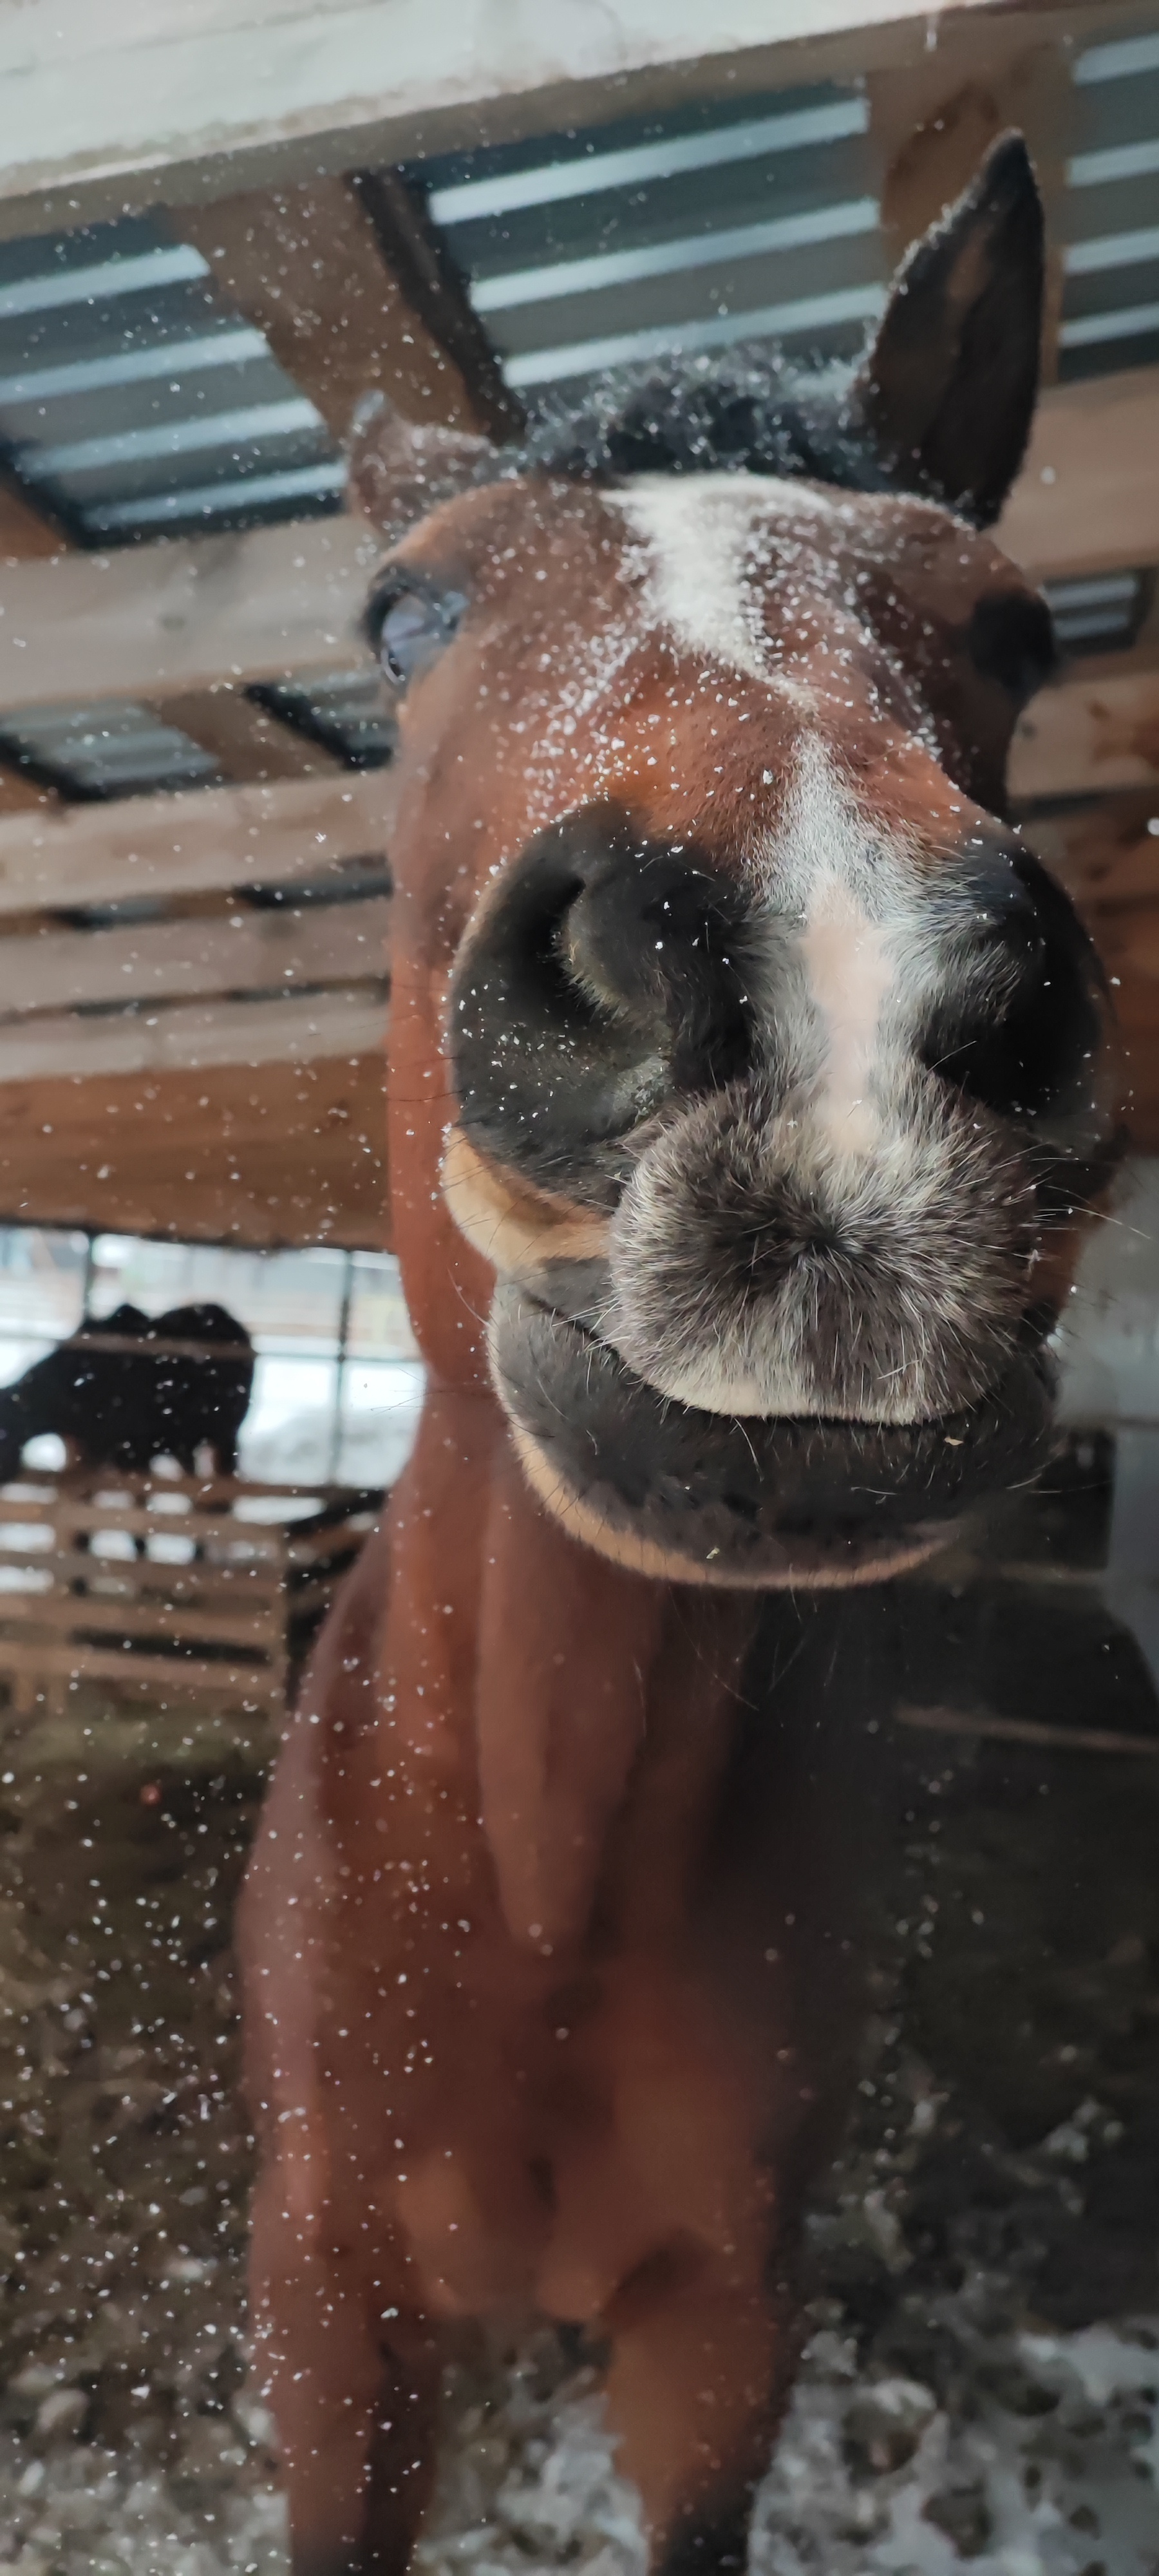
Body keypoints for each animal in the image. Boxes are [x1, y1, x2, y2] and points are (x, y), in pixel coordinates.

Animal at [240, 141, 1118, 2576]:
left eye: (1014, 627)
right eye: (404, 619)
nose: (837, 1000)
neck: (544, 1867)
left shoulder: (726, 2334)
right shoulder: (329, 2319)